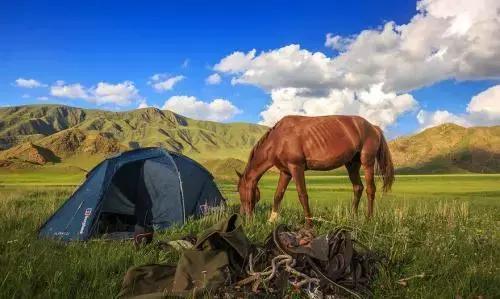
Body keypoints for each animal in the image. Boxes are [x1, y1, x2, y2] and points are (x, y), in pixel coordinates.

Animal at [236, 116, 396, 226]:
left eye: (240, 192)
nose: (244, 218)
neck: (278, 139)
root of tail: (373, 127)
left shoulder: (296, 167)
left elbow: (303, 195)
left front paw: (309, 224)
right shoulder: (286, 172)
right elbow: (278, 195)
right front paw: (272, 220)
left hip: (367, 162)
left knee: (370, 189)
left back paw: (369, 219)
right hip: (352, 164)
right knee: (358, 187)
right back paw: (352, 217)